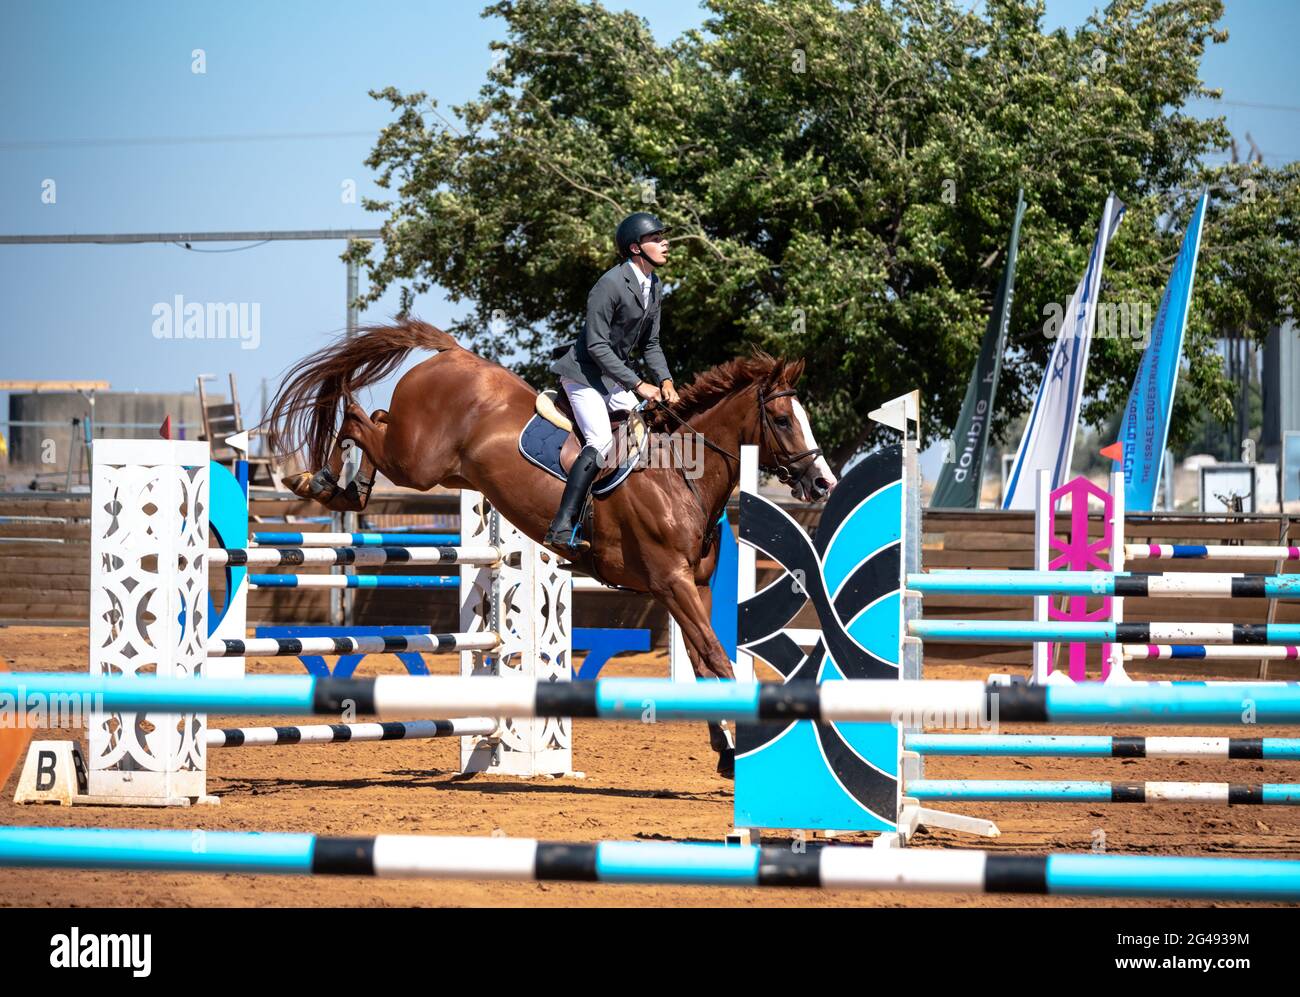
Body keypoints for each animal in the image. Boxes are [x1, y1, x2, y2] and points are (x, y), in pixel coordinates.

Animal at [267, 323, 837, 774]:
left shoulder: (689, 586)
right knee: (362, 419)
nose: (822, 483)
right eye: (782, 420)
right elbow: (717, 659)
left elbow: (704, 661)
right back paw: (319, 482)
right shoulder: (672, 582)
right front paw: (737, 748)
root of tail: (453, 352)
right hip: (418, 462)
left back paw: (348, 487)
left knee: (377, 418)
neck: (679, 474)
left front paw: (724, 748)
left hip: (437, 467)